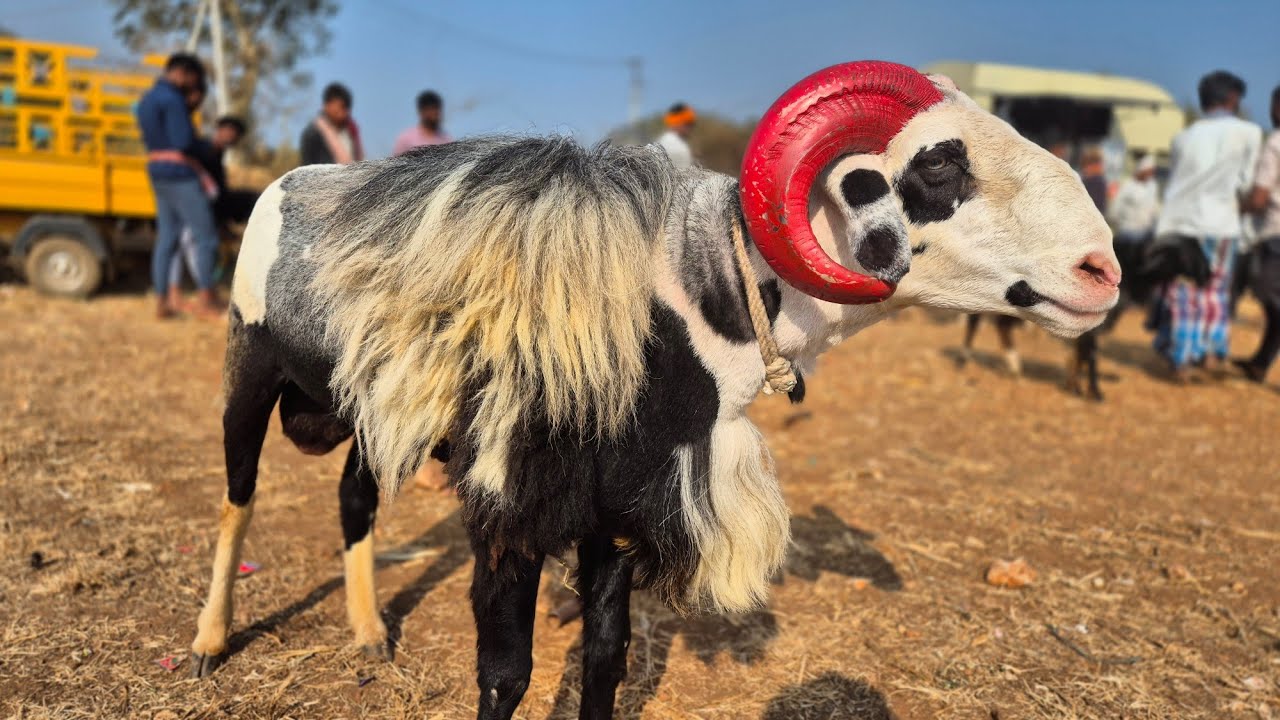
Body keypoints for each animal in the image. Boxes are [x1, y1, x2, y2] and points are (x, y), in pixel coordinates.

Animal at [188, 61, 1120, 720]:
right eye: (939, 164)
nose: (1102, 271)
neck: (681, 301)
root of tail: (290, 180)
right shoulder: (513, 506)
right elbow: (505, 676)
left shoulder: (618, 510)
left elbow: (606, 664)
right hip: (249, 370)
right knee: (237, 497)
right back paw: (208, 642)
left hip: (371, 409)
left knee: (353, 499)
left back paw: (369, 635)